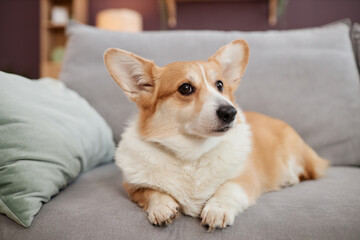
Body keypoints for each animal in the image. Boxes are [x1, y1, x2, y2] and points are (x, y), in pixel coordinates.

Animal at [104, 39, 330, 231]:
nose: (230, 112)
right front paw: (162, 207)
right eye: (185, 88)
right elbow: (151, 191)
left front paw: (217, 209)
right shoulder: (132, 187)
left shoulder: (245, 180)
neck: (192, 155)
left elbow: (228, 188)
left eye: (220, 85)